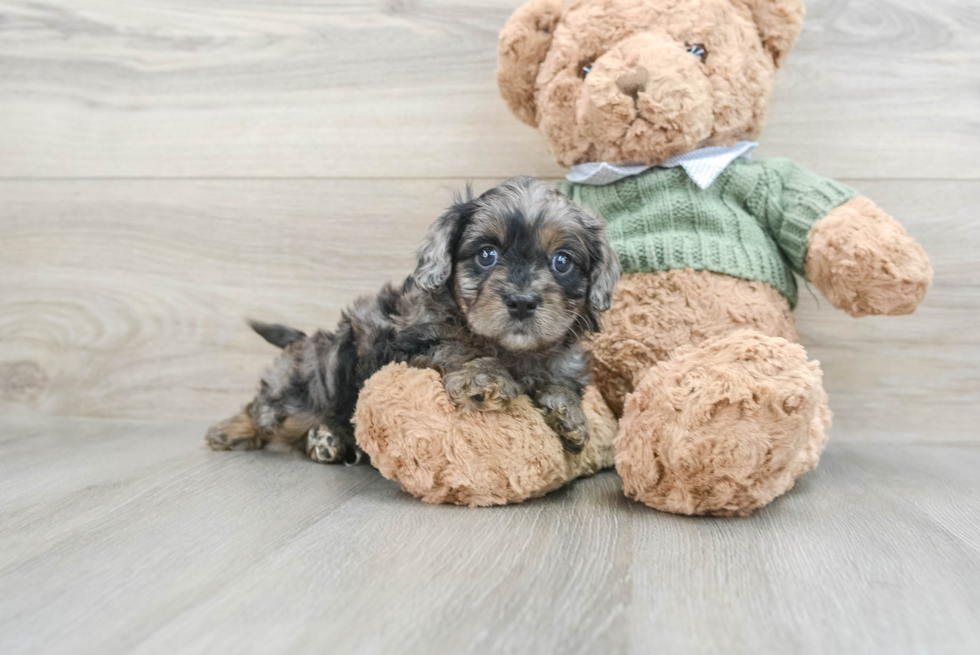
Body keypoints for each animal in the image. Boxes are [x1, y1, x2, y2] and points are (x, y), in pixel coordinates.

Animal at [206, 176, 620, 466]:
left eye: (562, 261)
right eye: (487, 254)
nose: (521, 302)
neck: (513, 351)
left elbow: (562, 384)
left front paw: (569, 415)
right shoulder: (412, 346)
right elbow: (458, 351)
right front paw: (484, 376)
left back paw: (328, 442)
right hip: (310, 382)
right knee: (267, 407)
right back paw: (232, 430)